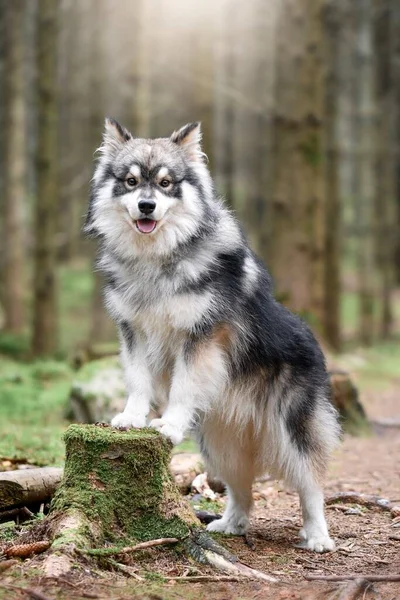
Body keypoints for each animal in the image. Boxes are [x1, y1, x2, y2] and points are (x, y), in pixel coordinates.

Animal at [85, 117, 340, 552]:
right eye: (131, 181)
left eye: (166, 183)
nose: (146, 206)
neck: (157, 259)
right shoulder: (133, 332)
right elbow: (138, 381)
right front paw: (132, 417)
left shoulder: (201, 337)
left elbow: (183, 387)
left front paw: (169, 425)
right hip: (221, 443)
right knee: (242, 489)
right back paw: (230, 523)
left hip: (294, 430)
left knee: (311, 486)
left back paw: (318, 535)